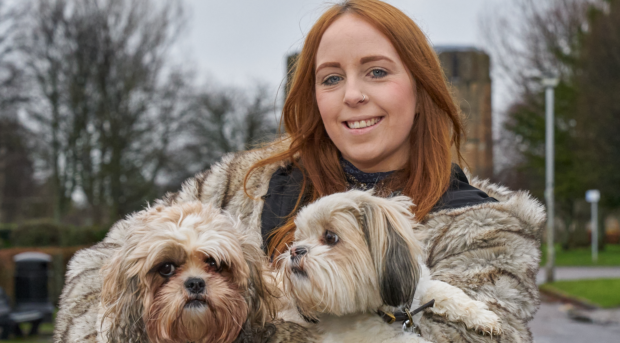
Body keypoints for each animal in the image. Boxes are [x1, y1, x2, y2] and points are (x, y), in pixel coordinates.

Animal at [280, 191, 504, 343]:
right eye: (298, 238)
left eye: (330, 237)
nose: (295, 251)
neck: (391, 311)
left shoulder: (418, 287)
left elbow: (446, 291)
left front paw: (483, 316)